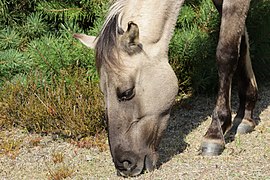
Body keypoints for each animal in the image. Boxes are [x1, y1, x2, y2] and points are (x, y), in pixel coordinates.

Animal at [73, 0, 258, 177]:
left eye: (127, 92)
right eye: (103, 93)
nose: (124, 165)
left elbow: (227, 53)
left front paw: (215, 132)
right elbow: (242, 45)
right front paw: (245, 114)